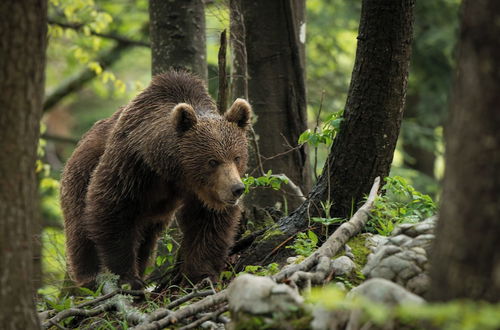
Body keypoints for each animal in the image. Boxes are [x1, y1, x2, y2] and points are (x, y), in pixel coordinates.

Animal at [59, 70, 250, 288]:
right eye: (212, 161)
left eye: (237, 157)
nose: (237, 188)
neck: (173, 172)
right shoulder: (132, 166)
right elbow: (111, 209)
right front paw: (128, 278)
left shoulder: (204, 192)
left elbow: (208, 223)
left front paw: (201, 275)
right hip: (80, 176)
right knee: (81, 230)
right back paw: (88, 278)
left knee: (146, 240)